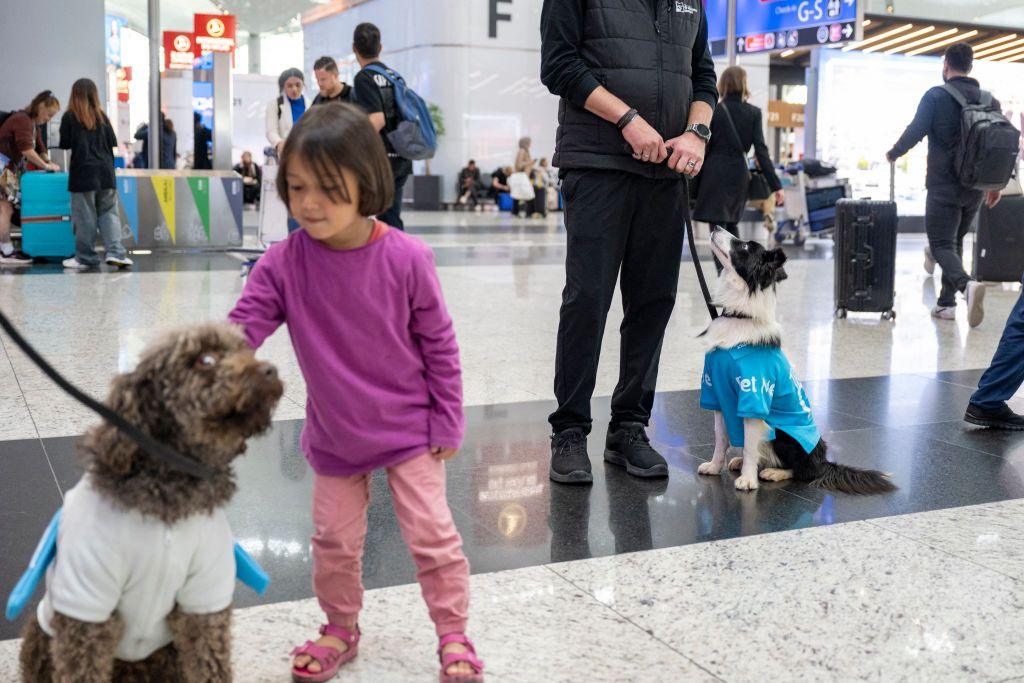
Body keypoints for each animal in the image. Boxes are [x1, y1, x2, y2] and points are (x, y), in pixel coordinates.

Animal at [18, 323, 284, 679]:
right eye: (205, 359)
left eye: (245, 349)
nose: (271, 370)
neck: (166, 507)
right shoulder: (86, 608)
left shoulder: (204, 603)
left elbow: (211, 666)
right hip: (39, 634)